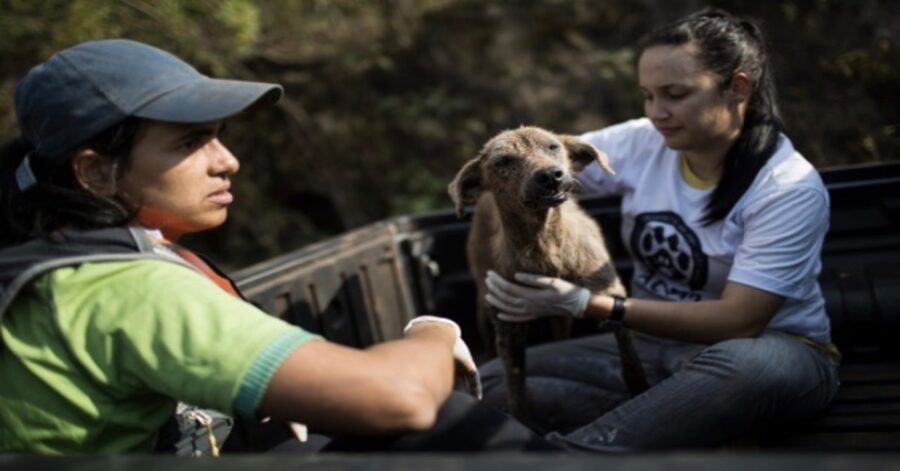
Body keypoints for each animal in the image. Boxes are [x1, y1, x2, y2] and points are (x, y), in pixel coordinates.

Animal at [448, 126, 648, 420]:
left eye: (553, 147)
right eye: (503, 161)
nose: (550, 175)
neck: (545, 244)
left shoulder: (609, 290)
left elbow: (630, 353)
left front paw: (639, 386)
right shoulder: (508, 328)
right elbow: (515, 388)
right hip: (483, 305)